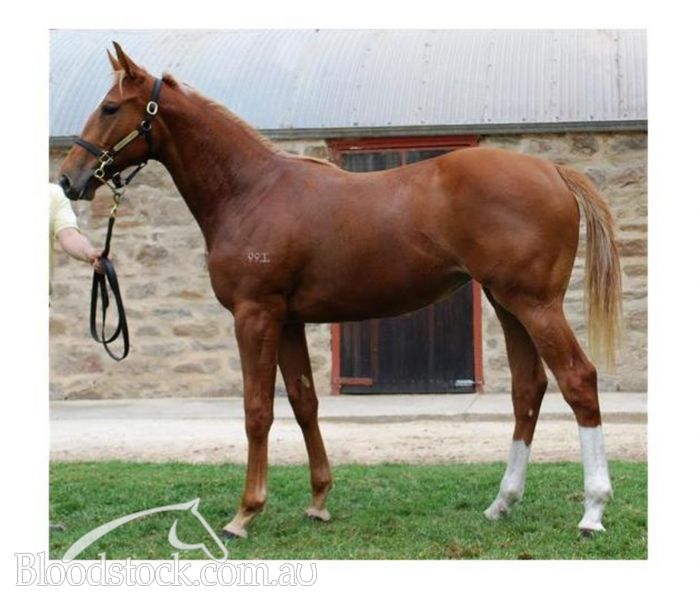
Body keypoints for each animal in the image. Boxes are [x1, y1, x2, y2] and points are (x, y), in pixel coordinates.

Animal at [58, 43, 622, 539]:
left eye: (111, 107)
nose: (69, 179)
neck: (251, 191)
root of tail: (553, 170)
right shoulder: (287, 320)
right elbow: (304, 401)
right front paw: (318, 501)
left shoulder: (254, 315)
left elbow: (257, 410)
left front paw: (245, 513)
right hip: (507, 303)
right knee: (529, 388)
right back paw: (501, 503)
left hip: (536, 305)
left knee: (578, 380)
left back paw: (593, 511)